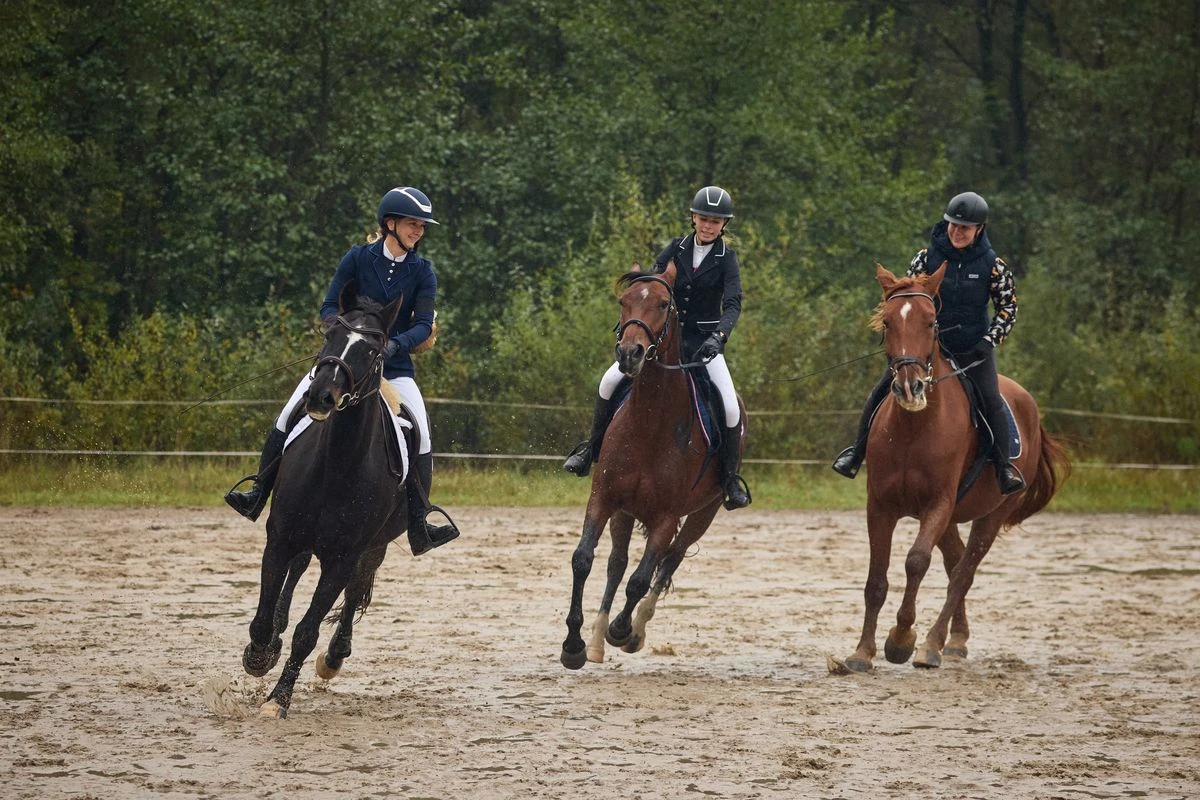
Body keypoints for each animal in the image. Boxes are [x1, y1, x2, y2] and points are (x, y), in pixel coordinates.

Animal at [241, 281, 434, 719]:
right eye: (330, 335)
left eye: (374, 350)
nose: (321, 397)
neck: (336, 464)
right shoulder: (279, 539)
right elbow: (262, 618)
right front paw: (259, 655)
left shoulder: (344, 557)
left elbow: (308, 631)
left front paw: (278, 699)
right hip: (303, 539)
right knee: (296, 572)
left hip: (373, 545)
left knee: (355, 590)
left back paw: (334, 656)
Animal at [559, 262, 744, 671]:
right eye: (623, 301)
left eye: (663, 304)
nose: (630, 353)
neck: (649, 423)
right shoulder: (604, 499)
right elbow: (584, 560)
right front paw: (574, 645)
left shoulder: (667, 517)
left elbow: (641, 579)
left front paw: (622, 631)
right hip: (625, 512)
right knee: (617, 562)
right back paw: (597, 641)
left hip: (703, 512)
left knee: (669, 561)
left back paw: (634, 629)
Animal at [835, 266, 1070, 671]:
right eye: (887, 323)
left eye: (931, 323)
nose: (909, 387)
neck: (913, 429)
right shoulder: (880, 507)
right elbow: (876, 579)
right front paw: (862, 652)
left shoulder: (937, 505)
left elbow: (916, 562)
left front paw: (901, 640)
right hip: (950, 517)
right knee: (955, 563)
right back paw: (955, 640)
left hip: (991, 514)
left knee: (963, 574)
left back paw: (932, 644)